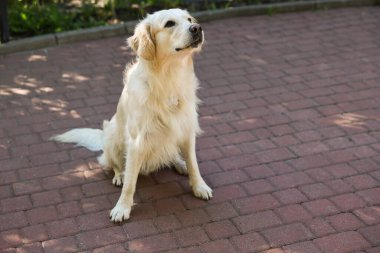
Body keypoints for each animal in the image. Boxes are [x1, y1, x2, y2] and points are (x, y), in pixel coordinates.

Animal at [52, 8, 214, 221]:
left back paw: (180, 163)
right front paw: (122, 207)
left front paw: (199, 186)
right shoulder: (137, 141)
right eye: (169, 24)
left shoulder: (186, 129)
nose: (197, 28)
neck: (168, 78)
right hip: (112, 137)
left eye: (189, 19)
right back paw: (119, 175)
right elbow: (130, 182)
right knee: (114, 164)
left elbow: (194, 164)